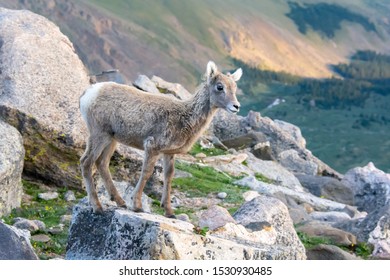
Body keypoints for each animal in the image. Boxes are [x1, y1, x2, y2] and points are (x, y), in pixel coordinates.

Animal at [79, 61, 242, 217]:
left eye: (235, 87)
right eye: (220, 87)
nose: (236, 106)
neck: (185, 118)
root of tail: (88, 94)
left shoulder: (169, 153)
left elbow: (168, 176)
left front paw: (169, 212)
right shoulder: (152, 146)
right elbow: (147, 172)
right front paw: (137, 206)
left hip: (111, 139)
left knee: (102, 163)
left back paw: (120, 202)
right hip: (99, 134)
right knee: (86, 162)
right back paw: (98, 207)